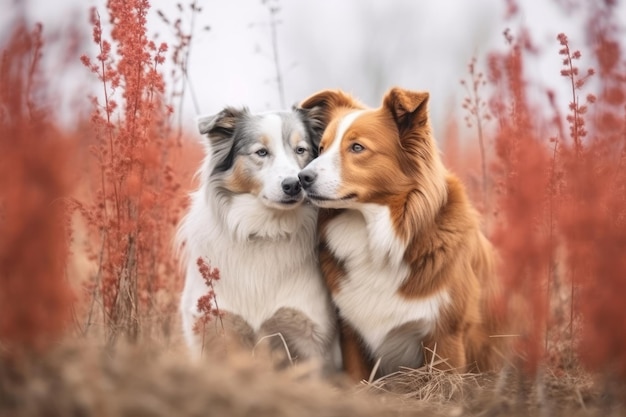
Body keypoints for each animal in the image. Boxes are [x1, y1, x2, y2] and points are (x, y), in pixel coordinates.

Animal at [294, 88, 504, 380]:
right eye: (322, 149)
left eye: (357, 147)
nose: (302, 178)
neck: (375, 235)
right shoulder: (351, 332)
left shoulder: (446, 336)